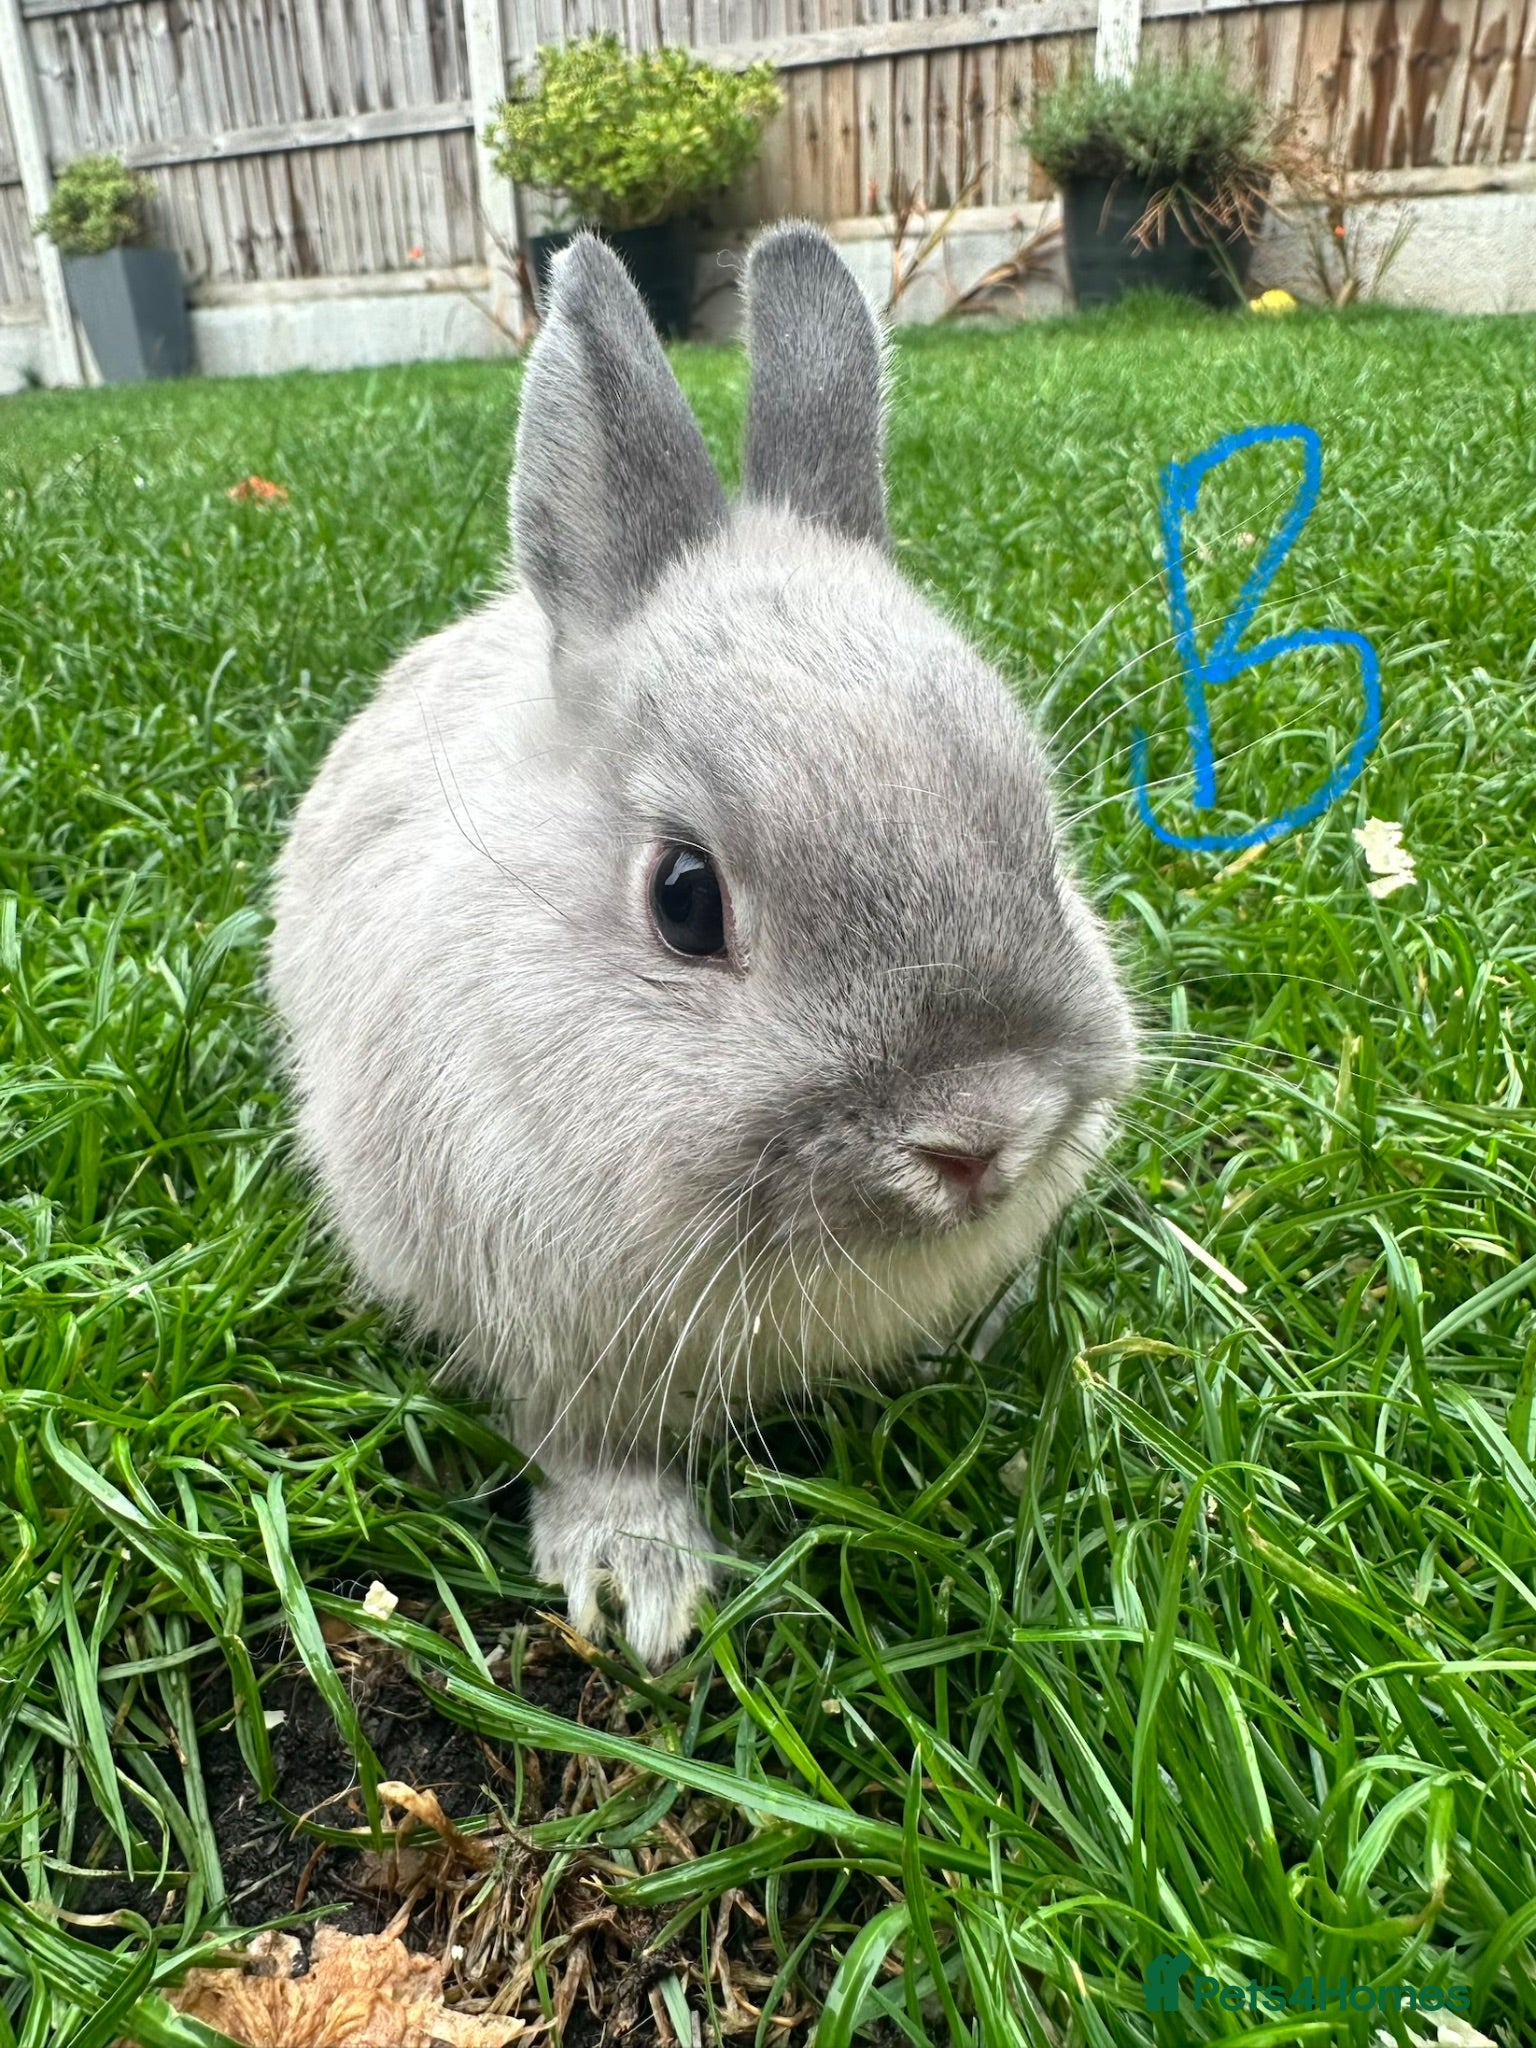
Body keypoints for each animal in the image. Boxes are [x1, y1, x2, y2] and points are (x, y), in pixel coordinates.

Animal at [267, 222, 1138, 1667]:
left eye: (1046, 842)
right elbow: (594, 1454)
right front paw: (639, 1587)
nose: (979, 1137)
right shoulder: (551, 1346)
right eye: (685, 901)